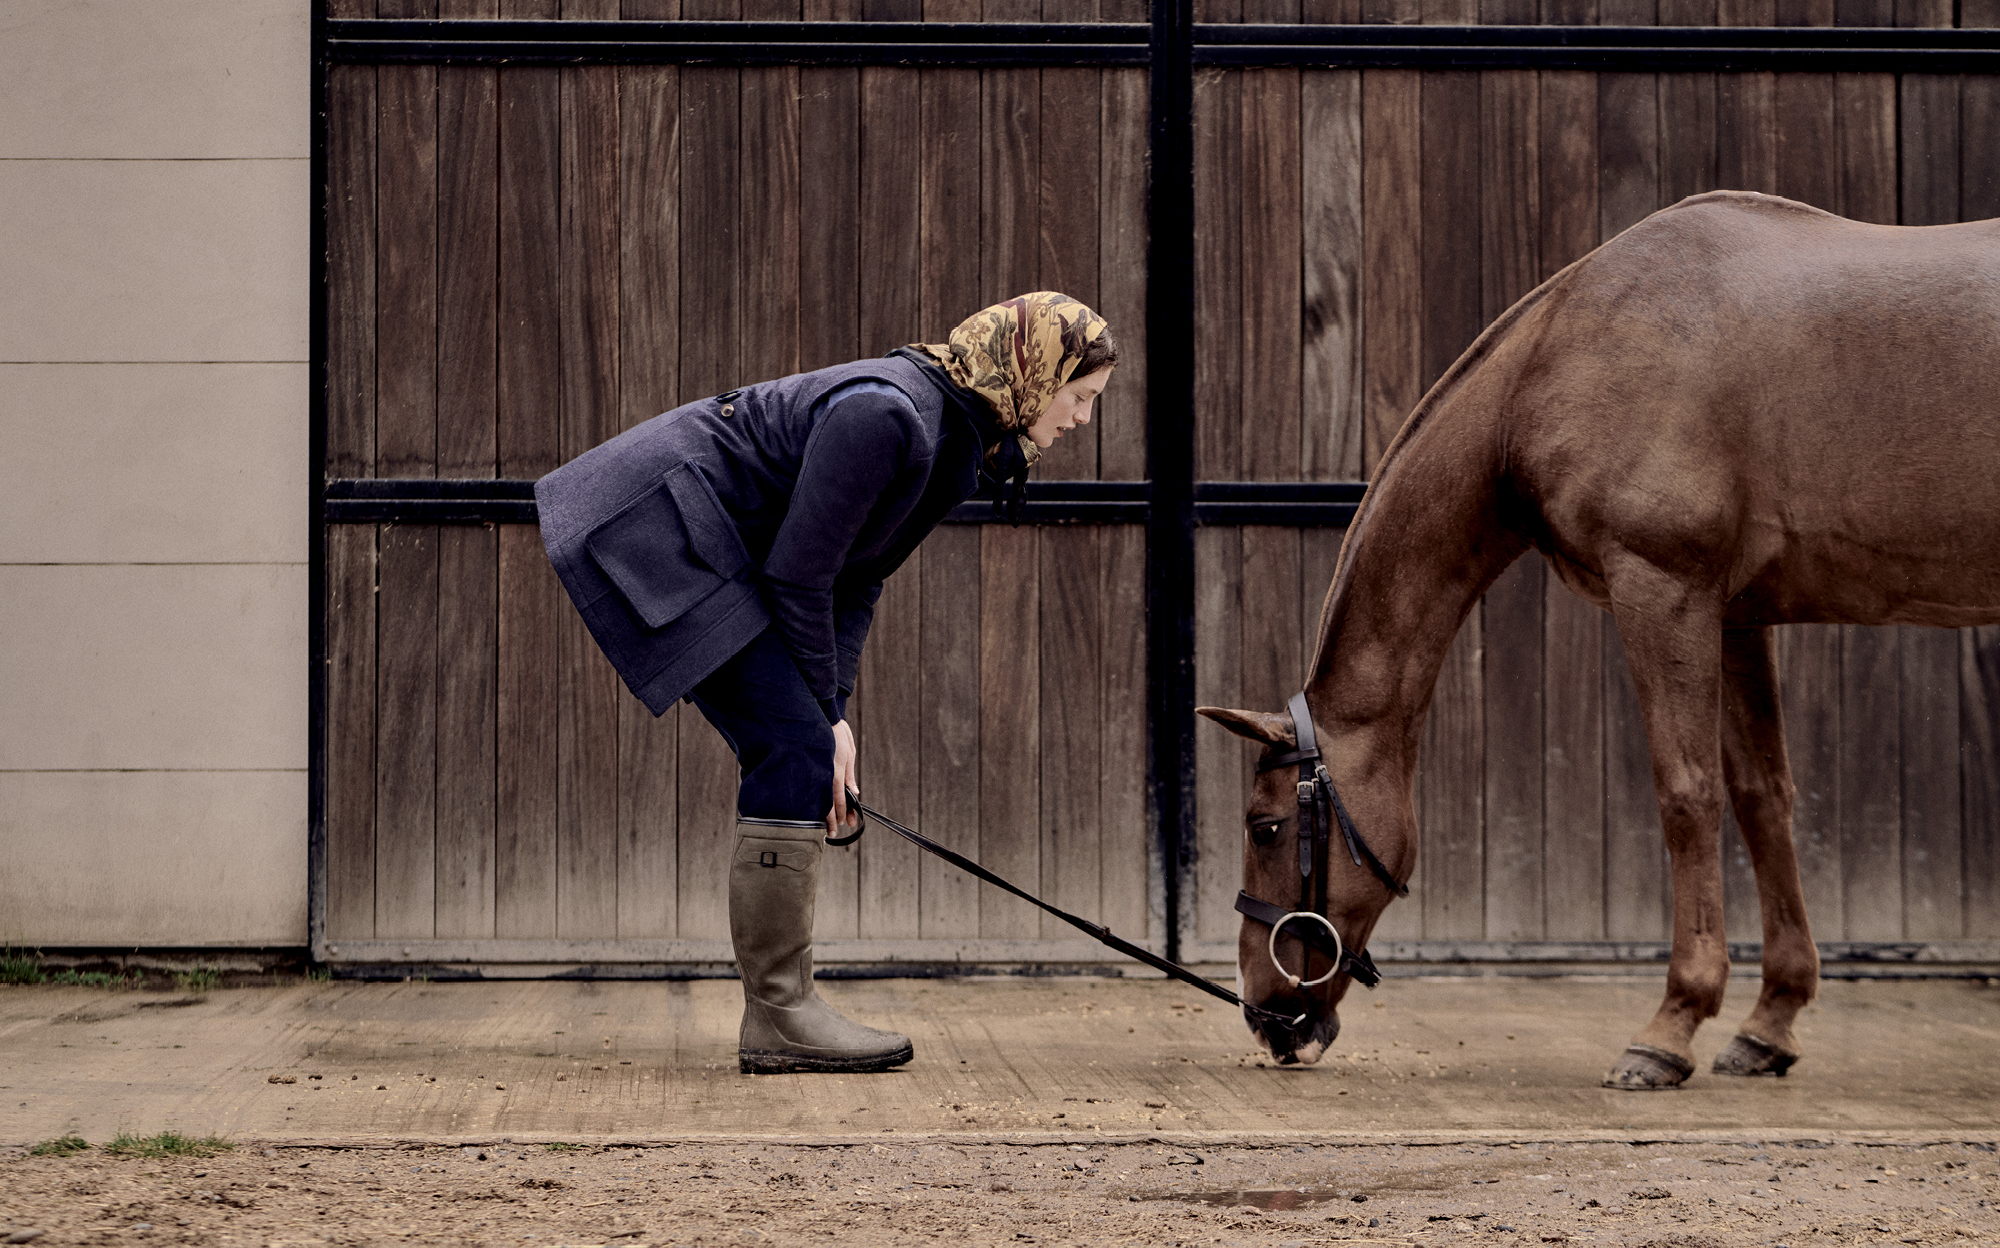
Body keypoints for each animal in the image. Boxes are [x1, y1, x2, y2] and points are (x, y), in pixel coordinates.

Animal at [1200, 190, 2000, 1088]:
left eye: (1266, 827)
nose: (1266, 1017)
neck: (1561, 357)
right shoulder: (1736, 616)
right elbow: (1763, 798)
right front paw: (1770, 1022)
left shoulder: (1664, 591)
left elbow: (1688, 795)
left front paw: (1672, 1025)